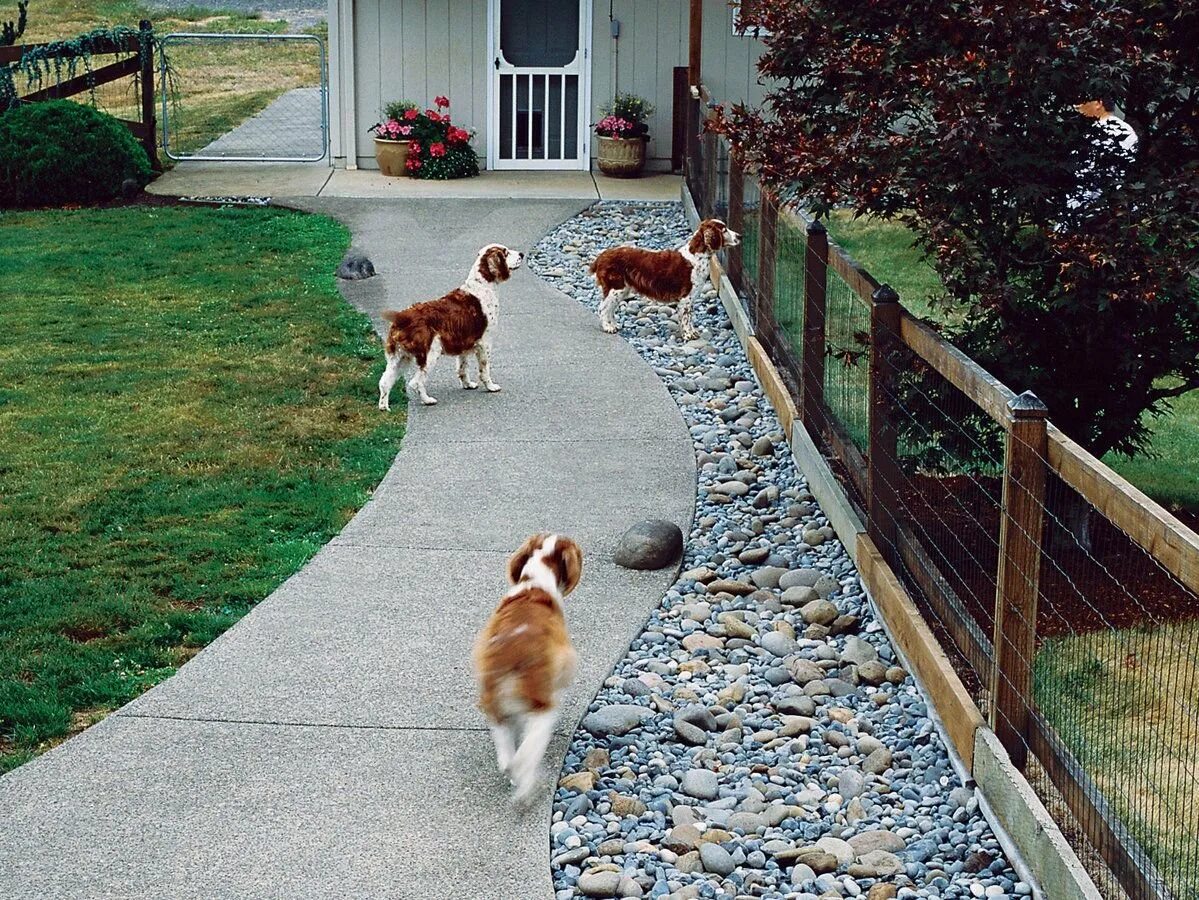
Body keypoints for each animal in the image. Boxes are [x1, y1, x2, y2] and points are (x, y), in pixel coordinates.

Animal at [376, 240, 522, 407]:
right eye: (505, 252)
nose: (522, 254)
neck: (483, 285)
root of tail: (402, 316)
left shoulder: (464, 342)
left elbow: (462, 368)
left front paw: (468, 385)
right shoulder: (485, 342)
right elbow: (484, 369)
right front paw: (491, 387)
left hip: (399, 358)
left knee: (384, 382)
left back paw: (384, 408)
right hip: (429, 354)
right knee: (415, 382)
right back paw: (428, 400)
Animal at [470, 534, 582, 800]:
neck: (534, 583)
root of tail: (509, 658)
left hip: (495, 707)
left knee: (506, 756)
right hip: (544, 707)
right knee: (526, 753)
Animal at [589, 218, 738, 340]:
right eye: (724, 230)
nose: (739, 236)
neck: (696, 257)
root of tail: (601, 257)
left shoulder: (690, 298)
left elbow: (689, 318)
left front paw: (693, 332)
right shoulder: (686, 298)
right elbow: (685, 318)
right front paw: (688, 335)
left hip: (622, 290)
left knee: (610, 309)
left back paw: (614, 325)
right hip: (616, 288)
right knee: (603, 308)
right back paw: (608, 327)